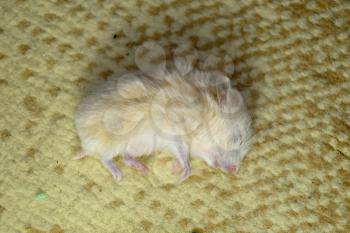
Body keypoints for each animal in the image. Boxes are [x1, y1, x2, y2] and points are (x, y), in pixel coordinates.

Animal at [74, 59, 252, 182]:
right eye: (238, 138)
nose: (234, 170)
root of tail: (85, 144)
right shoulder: (174, 130)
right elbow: (182, 152)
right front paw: (184, 174)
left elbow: (181, 153)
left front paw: (175, 168)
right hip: (114, 140)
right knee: (105, 157)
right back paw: (118, 175)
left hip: (138, 146)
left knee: (125, 157)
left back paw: (143, 168)